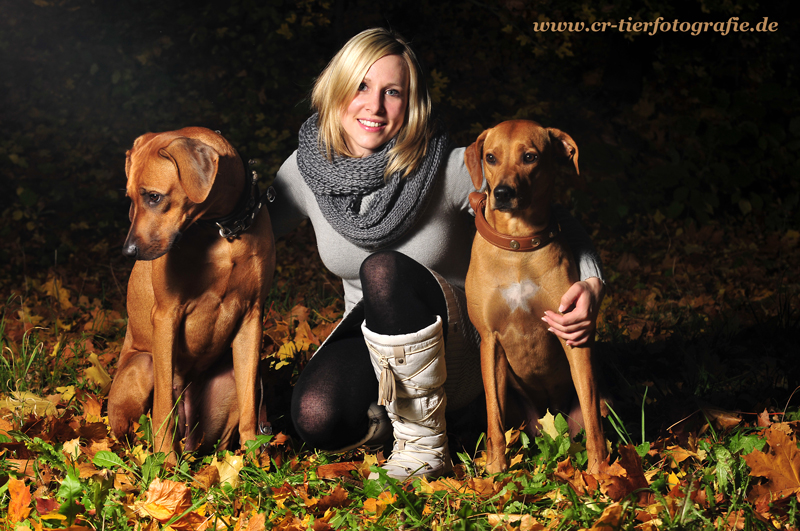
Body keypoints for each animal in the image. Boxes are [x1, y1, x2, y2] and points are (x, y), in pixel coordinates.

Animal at [107, 127, 276, 460]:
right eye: (130, 198)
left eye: (154, 196)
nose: (128, 252)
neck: (223, 231)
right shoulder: (166, 317)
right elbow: (162, 406)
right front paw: (164, 461)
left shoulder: (252, 317)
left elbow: (250, 404)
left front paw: (253, 459)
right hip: (142, 366)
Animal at [462, 119, 608, 474]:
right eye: (490, 157)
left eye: (530, 157)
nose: (502, 193)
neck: (518, 246)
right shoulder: (490, 341)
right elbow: (494, 418)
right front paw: (495, 470)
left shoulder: (573, 336)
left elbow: (591, 415)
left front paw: (599, 472)